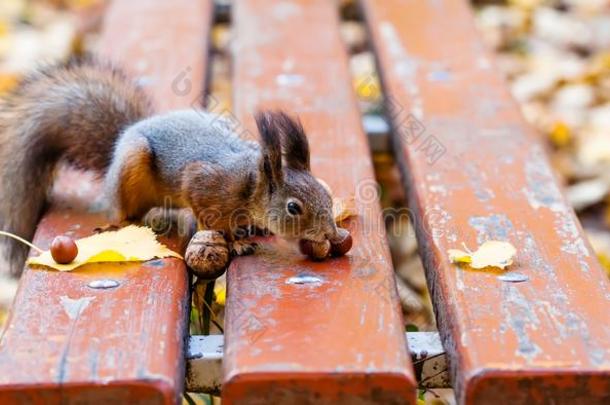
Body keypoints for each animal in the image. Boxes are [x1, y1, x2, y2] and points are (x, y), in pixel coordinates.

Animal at [0, 58, 338, 276]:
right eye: (293, 208)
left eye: (327, 194)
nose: (332, 235)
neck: (250, 183)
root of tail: (120, 142)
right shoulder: (204, 183)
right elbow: (208, 216)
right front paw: (236, 242)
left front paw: (252, 229)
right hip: (131, 170)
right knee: (126, 211)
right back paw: (120, 224)